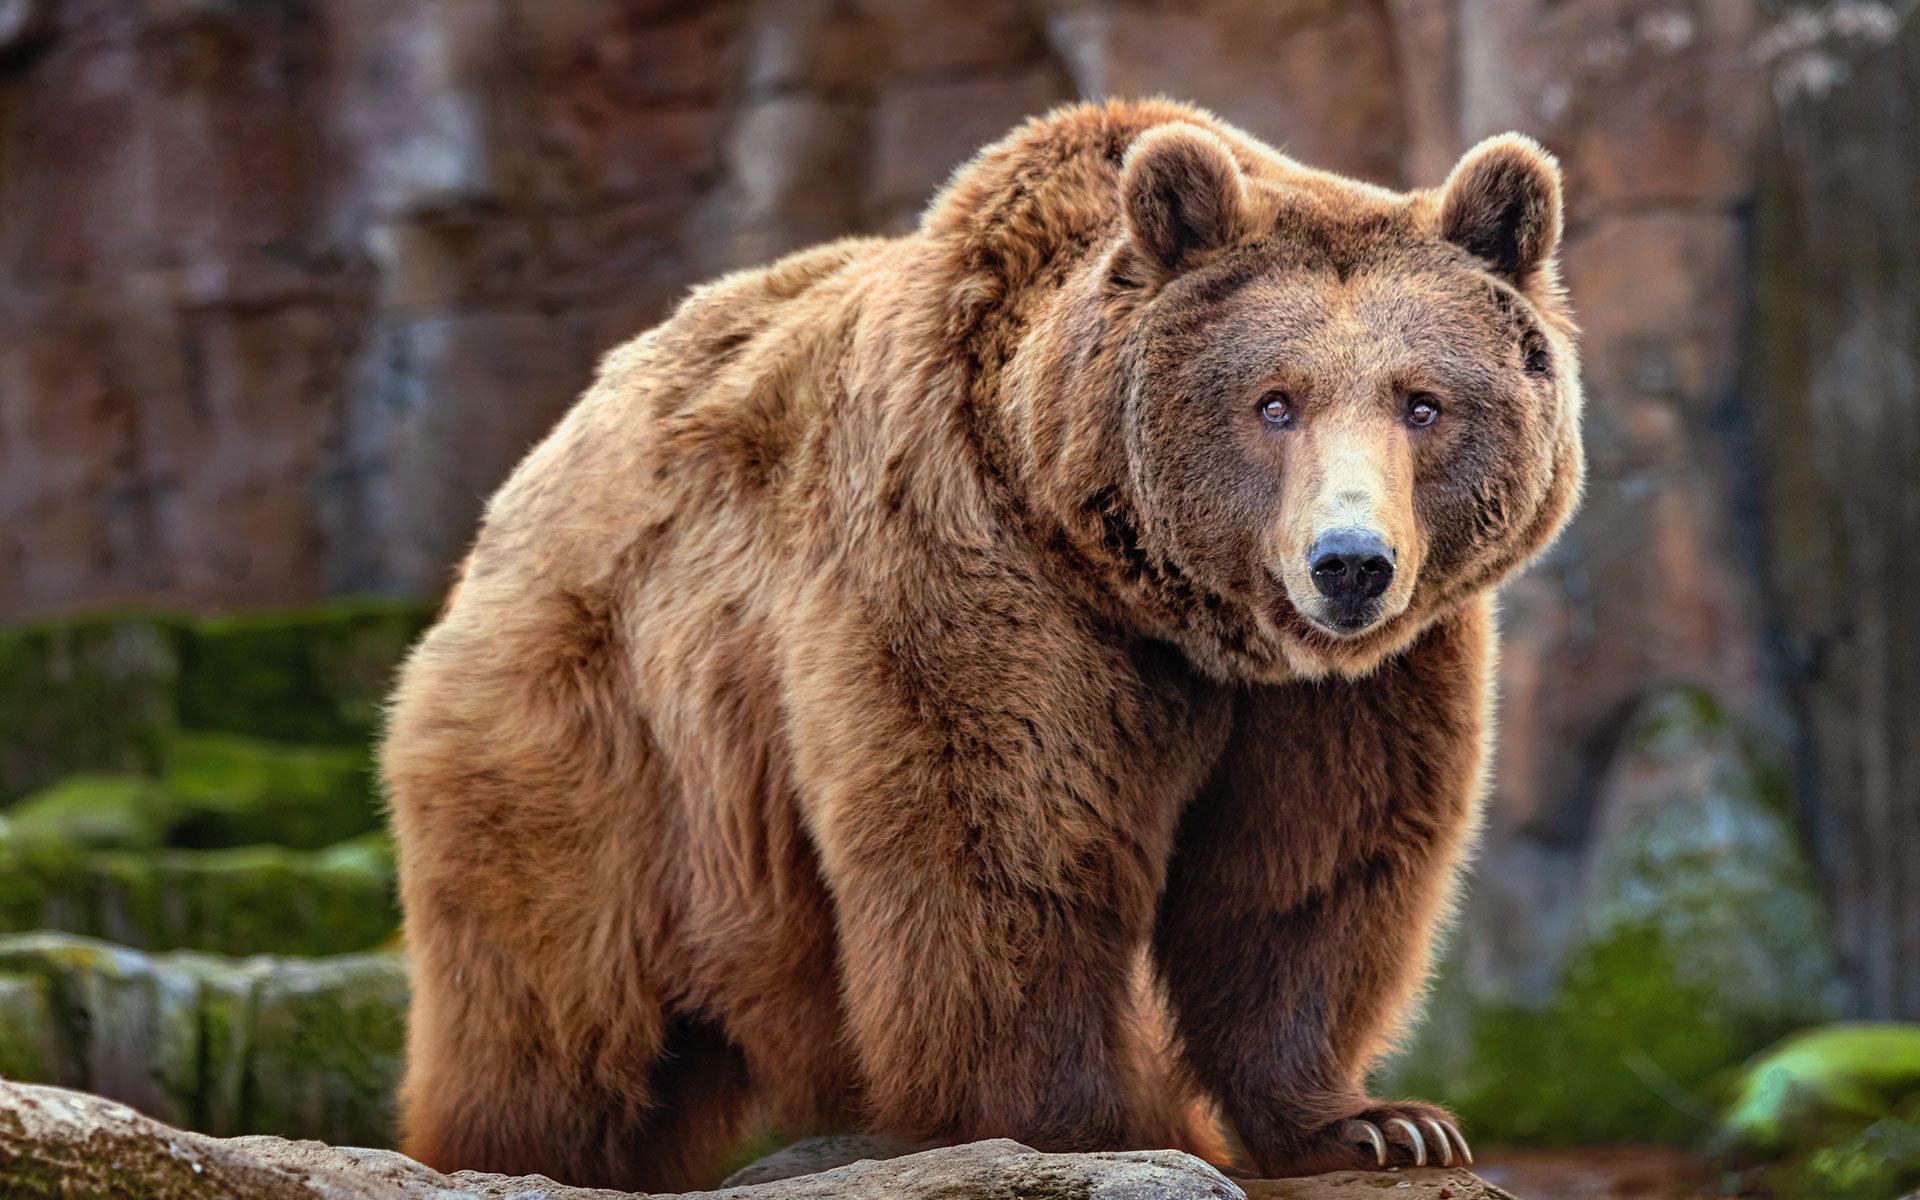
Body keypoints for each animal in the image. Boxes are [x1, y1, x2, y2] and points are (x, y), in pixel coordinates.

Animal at [381, 97, 1584, 1191]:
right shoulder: (973, 571)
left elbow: (1311, 872)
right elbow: (1003, 847)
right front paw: (1093, 1125)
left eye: (1423, 403)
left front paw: (1378, 1123)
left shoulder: (1356, 685)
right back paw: (505, 1148)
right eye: (1273, 401)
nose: (1350, 562)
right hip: (598, 734)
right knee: (553, 1001)